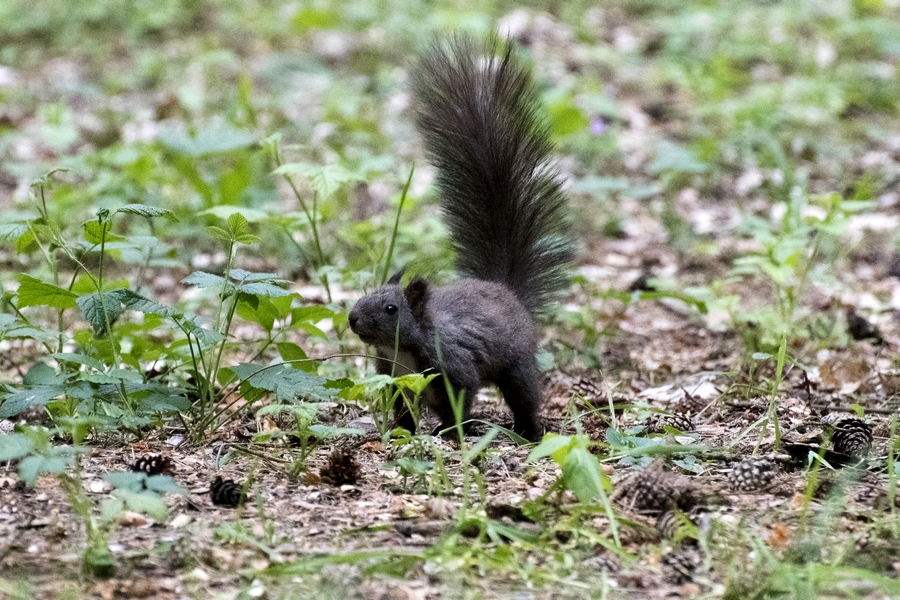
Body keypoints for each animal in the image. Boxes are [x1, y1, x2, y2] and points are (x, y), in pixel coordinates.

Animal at [348, 37, 572, 440]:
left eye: (391, 309)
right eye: (366, 295)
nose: (353, 318)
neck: (403, 350)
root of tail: (504, 289)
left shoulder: (454, 364)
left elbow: (462, 396)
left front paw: (453, 432)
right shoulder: (396, 380)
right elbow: (403, 409)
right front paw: (404, 432)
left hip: (516, 364)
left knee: (524, 395)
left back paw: (528, 431)